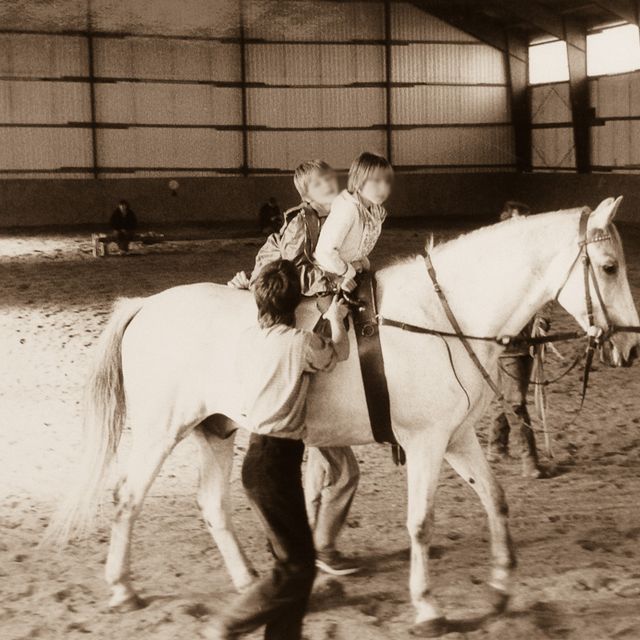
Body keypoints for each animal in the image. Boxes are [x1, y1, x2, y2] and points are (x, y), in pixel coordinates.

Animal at [52, 199, 636, 636]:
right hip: (161, 430)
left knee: (213, 505)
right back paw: (123, 589)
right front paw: (428, 607)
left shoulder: (457, 437)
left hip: (214, 430)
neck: (439, 319)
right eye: (609, 267)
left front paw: (500, 585)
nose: (629, 347)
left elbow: (495, 499)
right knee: (127, 498)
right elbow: (421, 522)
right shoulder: (425, 443)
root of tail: (145, 306)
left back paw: (247, 583)